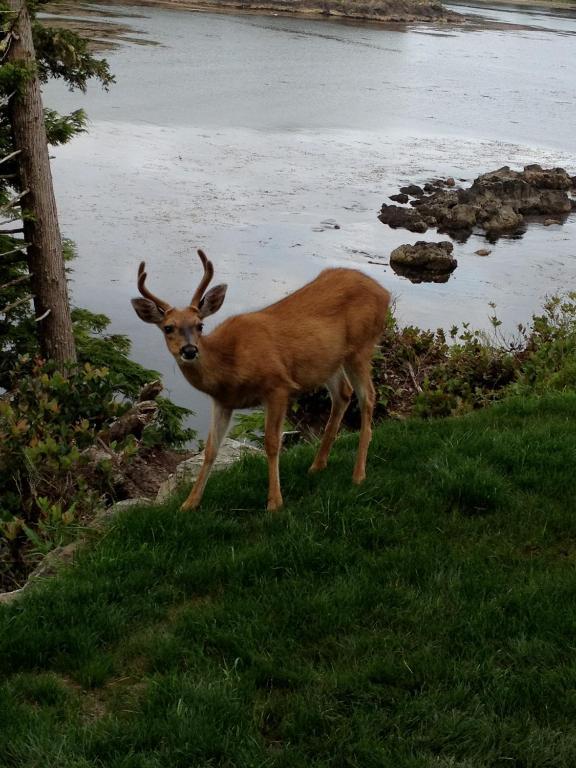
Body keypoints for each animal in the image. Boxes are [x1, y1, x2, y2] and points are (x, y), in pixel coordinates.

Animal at [132, 252, 392, 512]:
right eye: (168, 328)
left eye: (200, 325)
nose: (189, 350)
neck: (230, 364)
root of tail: (384, 293)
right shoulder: (222, 401)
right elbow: (211, 449)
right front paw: (189, 503)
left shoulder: (277, 385)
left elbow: (272, 442)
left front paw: (275, 502)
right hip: (329, 361)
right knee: (343, 394)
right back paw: (317, 465)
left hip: (361, 347)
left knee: (368, 396)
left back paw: (358, 474)